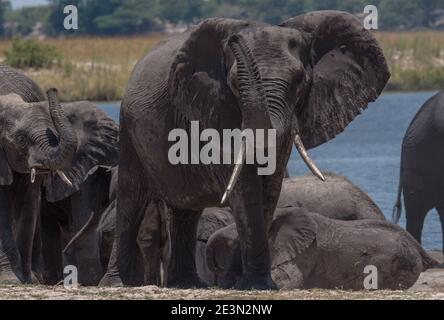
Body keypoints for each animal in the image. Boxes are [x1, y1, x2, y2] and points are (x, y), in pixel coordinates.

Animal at [0, 63, 119, 284]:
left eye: (55, 136)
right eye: (19, 140)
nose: (52, 89)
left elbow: (29, 204)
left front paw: (29, 281)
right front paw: (9, 280)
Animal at [102, 11, 390, 288]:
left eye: (300, 81)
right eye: (235, 83)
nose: (235, 39)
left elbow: (269, 190)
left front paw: (252, 283)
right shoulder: (215, 110)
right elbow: (246, 186)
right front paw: (255, 284)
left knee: (185, 211)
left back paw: (186, 283)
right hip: (128, 127)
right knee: (131, 197)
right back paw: (119, 283)